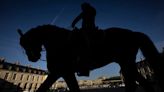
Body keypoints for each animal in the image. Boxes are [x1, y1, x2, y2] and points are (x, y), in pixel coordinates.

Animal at [17, 24, 161, 92]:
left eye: (27, 43)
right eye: (23, 47)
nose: (32, 59)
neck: (58, 42)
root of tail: (133, 33)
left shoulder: (61, 72)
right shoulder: (63, 73)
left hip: (127, 64)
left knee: (135, 84)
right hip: (127, 64)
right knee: (140, 84)